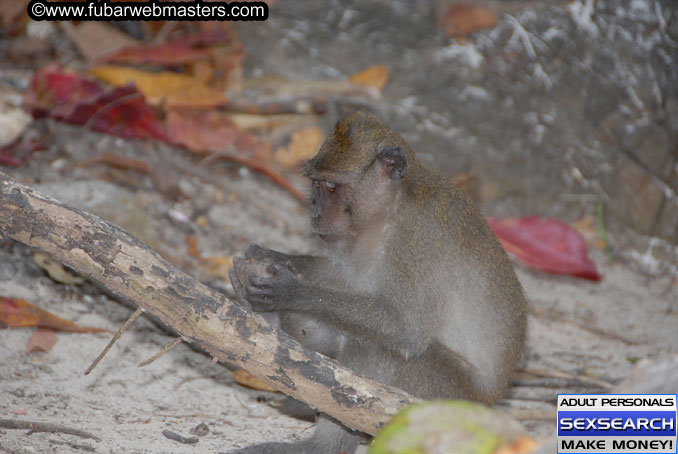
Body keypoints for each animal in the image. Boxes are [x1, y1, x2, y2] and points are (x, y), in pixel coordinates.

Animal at [226, 111, 528, 454]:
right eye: (316, 184)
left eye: (331, 187)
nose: (315, 212)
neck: (390, 210)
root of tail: (489, 403)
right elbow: (344, 276)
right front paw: (275, 258)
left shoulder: (415, 240)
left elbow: (406, 330)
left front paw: (291, 291)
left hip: (442, 397)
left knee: (379, 346)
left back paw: (323, 446)